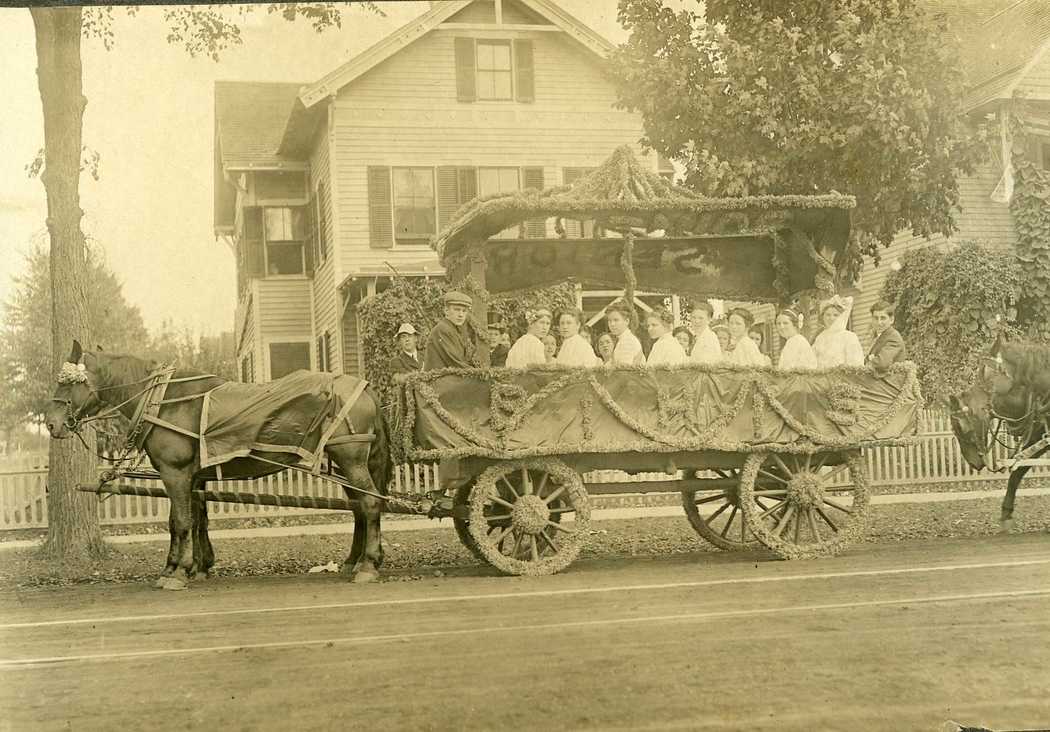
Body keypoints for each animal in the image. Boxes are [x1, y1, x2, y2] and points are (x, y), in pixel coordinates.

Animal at [43, 340, 392, 588]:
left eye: (68, 383)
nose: (51, 423)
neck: (164, 401)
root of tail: (365, 389)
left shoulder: (175, 472)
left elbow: (182, 521)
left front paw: (178, 572)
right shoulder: (192, 475)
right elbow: (190, 520)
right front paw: (189, 566)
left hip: (351, 460)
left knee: (370, 505)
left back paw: (368, 565)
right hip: (343, 464)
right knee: (359, 509)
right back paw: (353, 561)